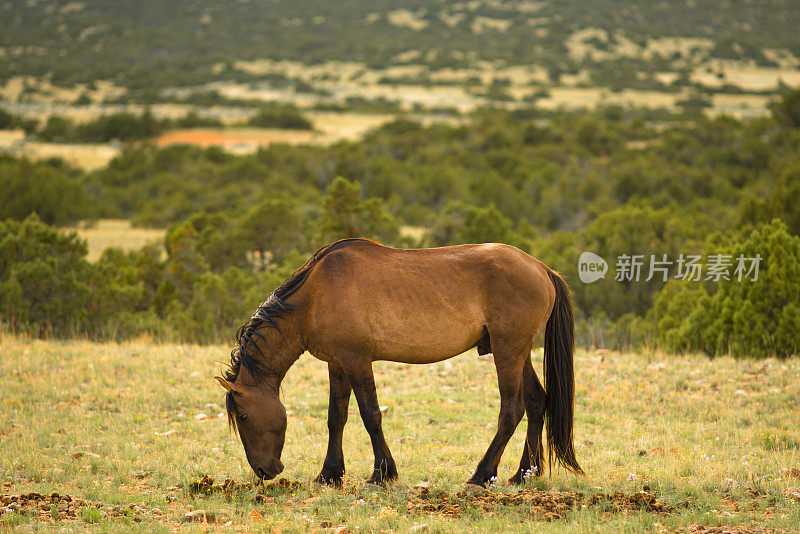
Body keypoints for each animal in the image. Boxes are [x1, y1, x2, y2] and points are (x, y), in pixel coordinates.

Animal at [216, 240, 584, 490]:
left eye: (243, 417)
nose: (265, 471)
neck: (316, 294)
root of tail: (541, 268)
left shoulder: (357, 361)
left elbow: (370, 416)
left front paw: (382, 473)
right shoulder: (338, 365)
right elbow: (336, 418)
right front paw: (329, 474)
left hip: (508, 352)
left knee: (511, 409)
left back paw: (481, 475)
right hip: (517, 353)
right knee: (536, 402)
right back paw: (522, 474)